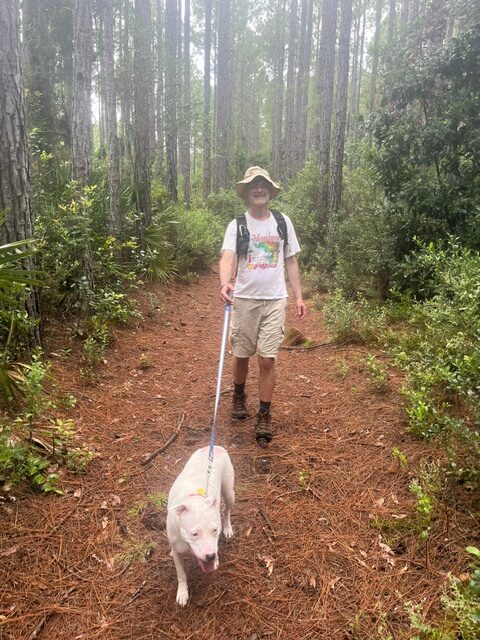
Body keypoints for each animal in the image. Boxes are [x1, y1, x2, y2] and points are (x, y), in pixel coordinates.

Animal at [166, 444, 235, 604]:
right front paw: (182, 592)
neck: (193, 499)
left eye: (215, 530)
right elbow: (181, 574)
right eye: (194, 533)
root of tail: (215, 447)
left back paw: (228, 527)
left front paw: (216, 560)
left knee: (227, 510)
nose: (210, 556)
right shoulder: (176, 549)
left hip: (229, 492)